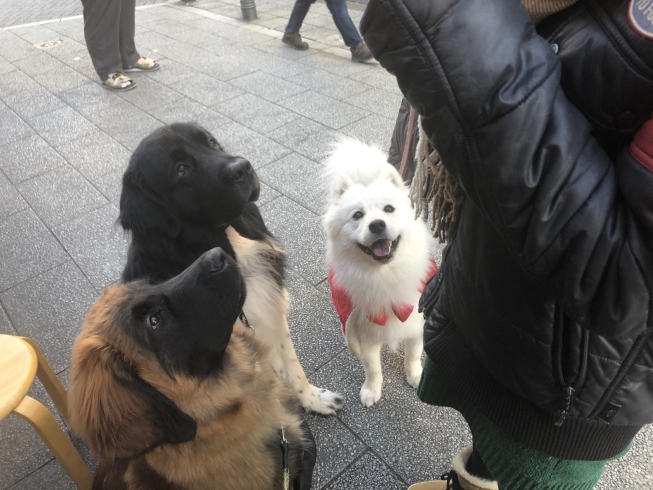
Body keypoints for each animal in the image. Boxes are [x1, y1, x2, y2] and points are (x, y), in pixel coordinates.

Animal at [118, 122, 342, 414]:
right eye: (181, 169)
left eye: (212, 143)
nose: (243, 168)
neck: (230, 245)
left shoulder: (272, 309)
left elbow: (292, 363)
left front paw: (313, 399)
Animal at [322, 137, 438, 406]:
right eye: (357, 215)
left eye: (389, 209)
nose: (376, 225)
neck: (384, 275)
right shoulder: (364, 333)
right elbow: (373, 368)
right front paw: (371, 392)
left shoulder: (414, 323)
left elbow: (413, 354)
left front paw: (415, 377)